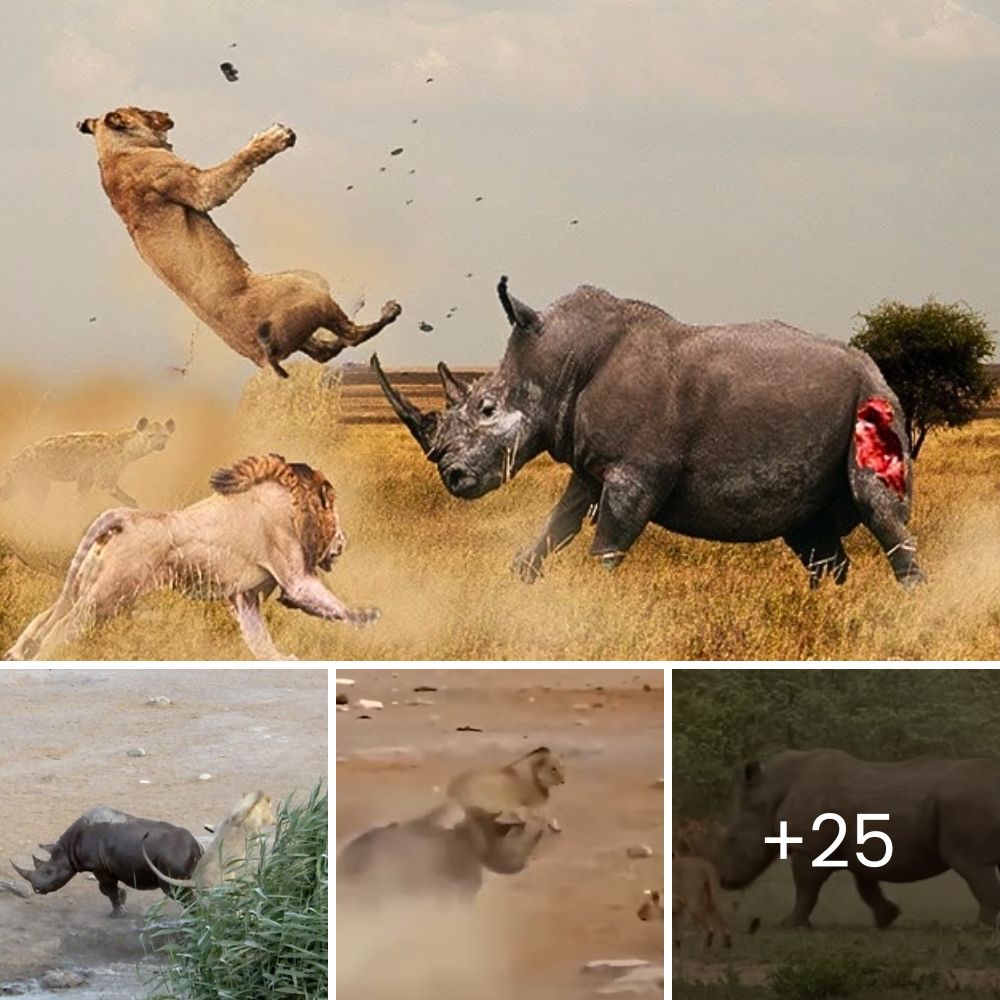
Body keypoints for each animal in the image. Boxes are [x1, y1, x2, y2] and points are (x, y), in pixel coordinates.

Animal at [2, 456, 378, 664]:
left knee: (44, 617)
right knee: (61, 628)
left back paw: (17, 653)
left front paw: (280, 660)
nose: (344, 541)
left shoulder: (245, 596)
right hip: (109, 595)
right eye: (336, 515)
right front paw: (367, 617)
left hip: (90, 585)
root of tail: (126, 517)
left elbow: (259, 639)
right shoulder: (295, 577)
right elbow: (331, 603)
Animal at [11, 808, 202, 916]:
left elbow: (108, 889)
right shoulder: (105, 867)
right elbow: (107, 889)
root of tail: (195, 845)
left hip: (173, 857)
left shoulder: (99, 866)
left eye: (49, 872)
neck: (67, 849)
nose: (36, 889)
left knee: (176, 891)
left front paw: (117, 913)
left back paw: (194, 917)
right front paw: (123, 899)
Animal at [77, 106, 402, 376]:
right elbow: (236, 163)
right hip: (304, 284)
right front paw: (273, 137)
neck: (115, 153)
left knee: (325, 350)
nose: (166, 113)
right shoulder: (198, 187)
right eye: (142, 110)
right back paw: (389, 310)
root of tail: (263, 354)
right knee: (352, 336)